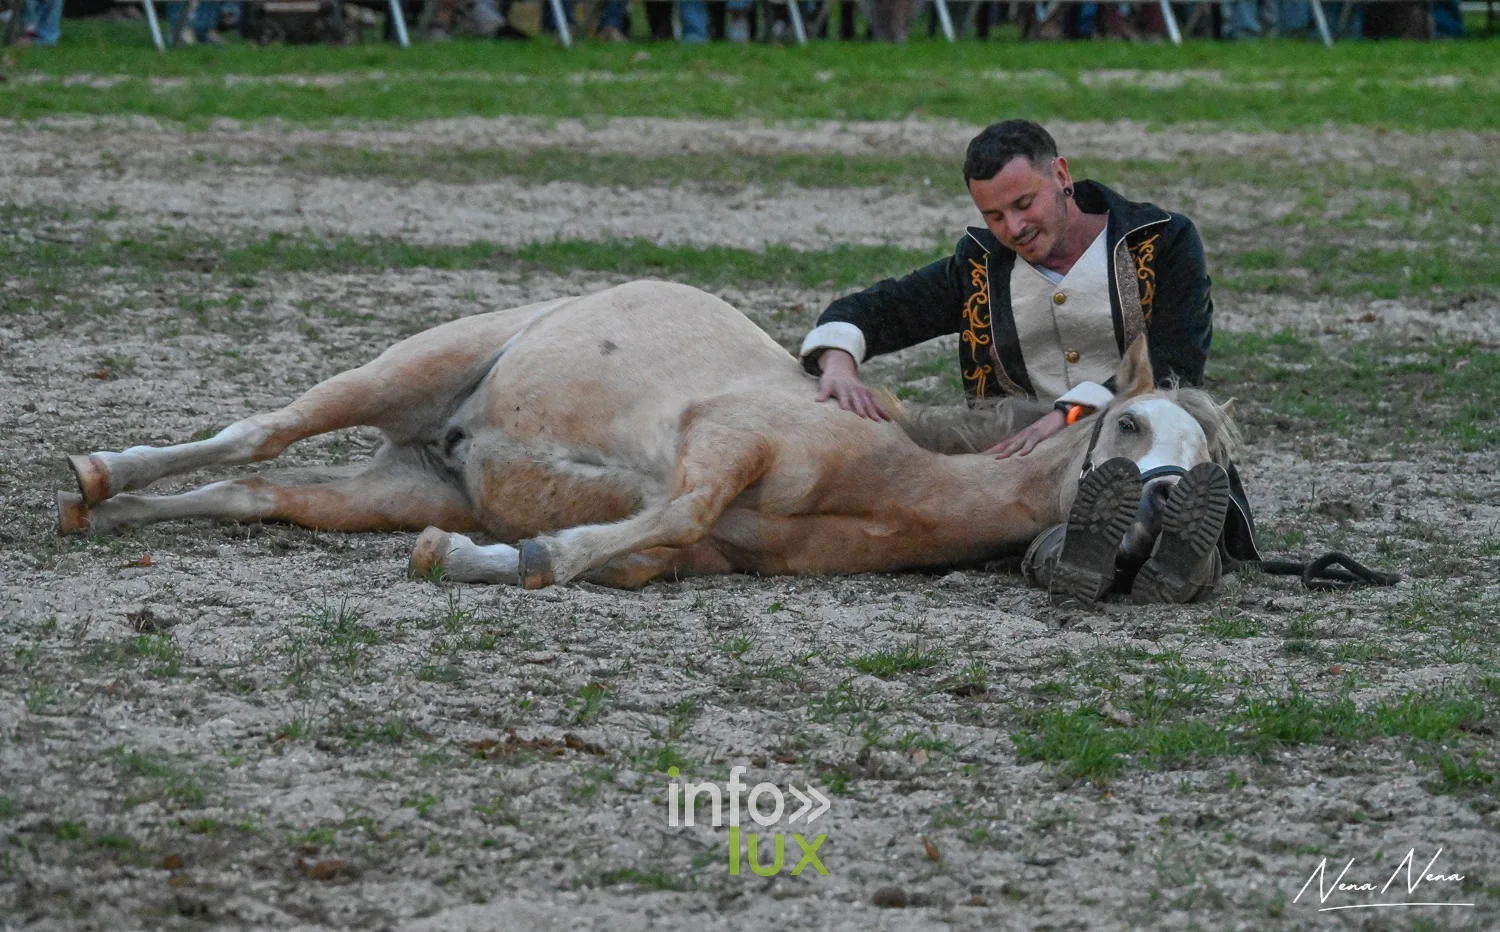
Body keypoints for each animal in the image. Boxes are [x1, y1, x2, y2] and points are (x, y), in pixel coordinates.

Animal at [56, 280, 1238, 590]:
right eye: (1127, 418)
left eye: (1217, 464)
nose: (1164, 503)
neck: (889, 471)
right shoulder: (724, 442)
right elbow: (664, 509)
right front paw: (516, 559)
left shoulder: (697, 554)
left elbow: (643, 544)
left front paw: (487, 554)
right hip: (400, 375)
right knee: (258, 435)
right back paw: (97, 473)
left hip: (395, 483)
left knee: (258, 492)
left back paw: (108, 512)